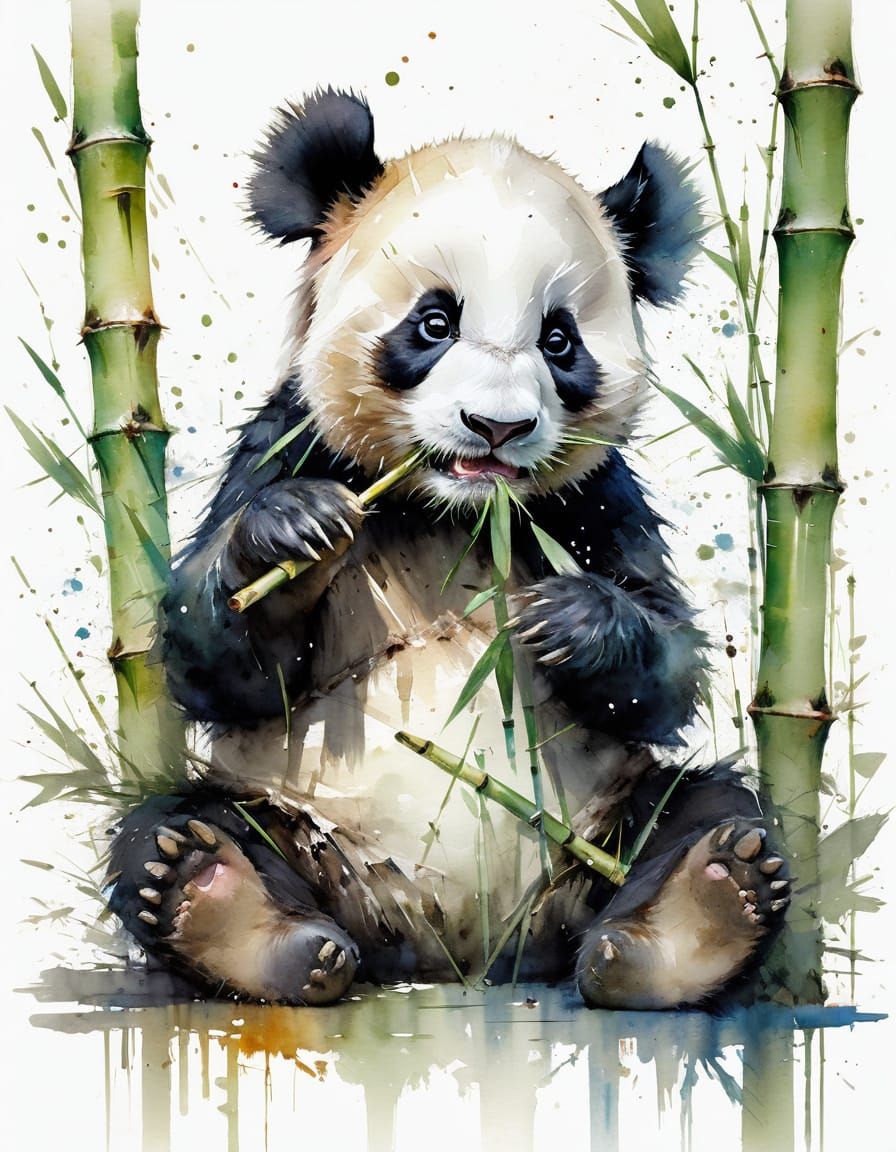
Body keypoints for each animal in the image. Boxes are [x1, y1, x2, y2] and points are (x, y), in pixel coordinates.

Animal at [107, 89, 790, 1010]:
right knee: (178, 826)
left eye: (559, 340)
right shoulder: (290, 442)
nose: (496, 426)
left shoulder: (593, 503)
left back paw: (694, 916)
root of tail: (453, 952)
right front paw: (293, 535)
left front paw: (572, 620)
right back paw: (229, 910)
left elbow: (668, 662)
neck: (451, 510)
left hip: (602, 827)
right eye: (433, 322)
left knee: (704, 807)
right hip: (297, 822)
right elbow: (217, 667)